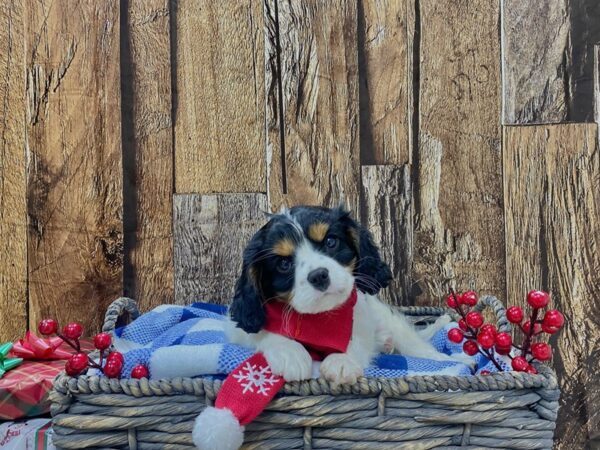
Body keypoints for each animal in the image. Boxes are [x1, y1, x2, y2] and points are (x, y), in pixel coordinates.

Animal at [225, 205, 468, 384]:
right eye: (284, 264)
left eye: (331, 242)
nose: (319, 275)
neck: (321, 319)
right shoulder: (240, 330)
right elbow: (261, 332)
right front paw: (289, 352)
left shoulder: (362, 315)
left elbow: (356, 338)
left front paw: (342, 360)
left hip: (392, 322)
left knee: (415, 343)